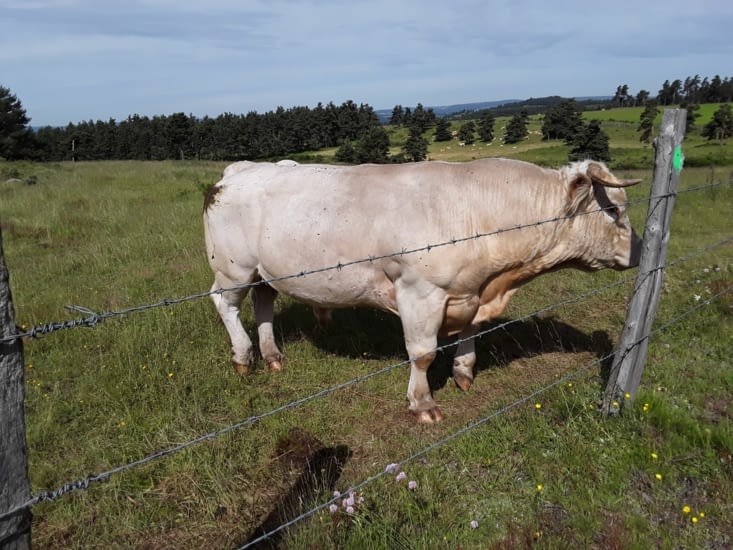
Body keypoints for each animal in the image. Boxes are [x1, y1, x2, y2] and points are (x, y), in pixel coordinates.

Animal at [203, 158, 642, 423]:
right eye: (613, 209)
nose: (640, 250)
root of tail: (241, 169)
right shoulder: (420, 292)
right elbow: (423, 353)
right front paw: (423, 403)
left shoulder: (469, 290)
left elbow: (469, 333)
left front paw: (464, 371)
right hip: (233, 268)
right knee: (224, 304)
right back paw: (243, 356)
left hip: (264, 272)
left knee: (263, 303)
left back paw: (273, 355)